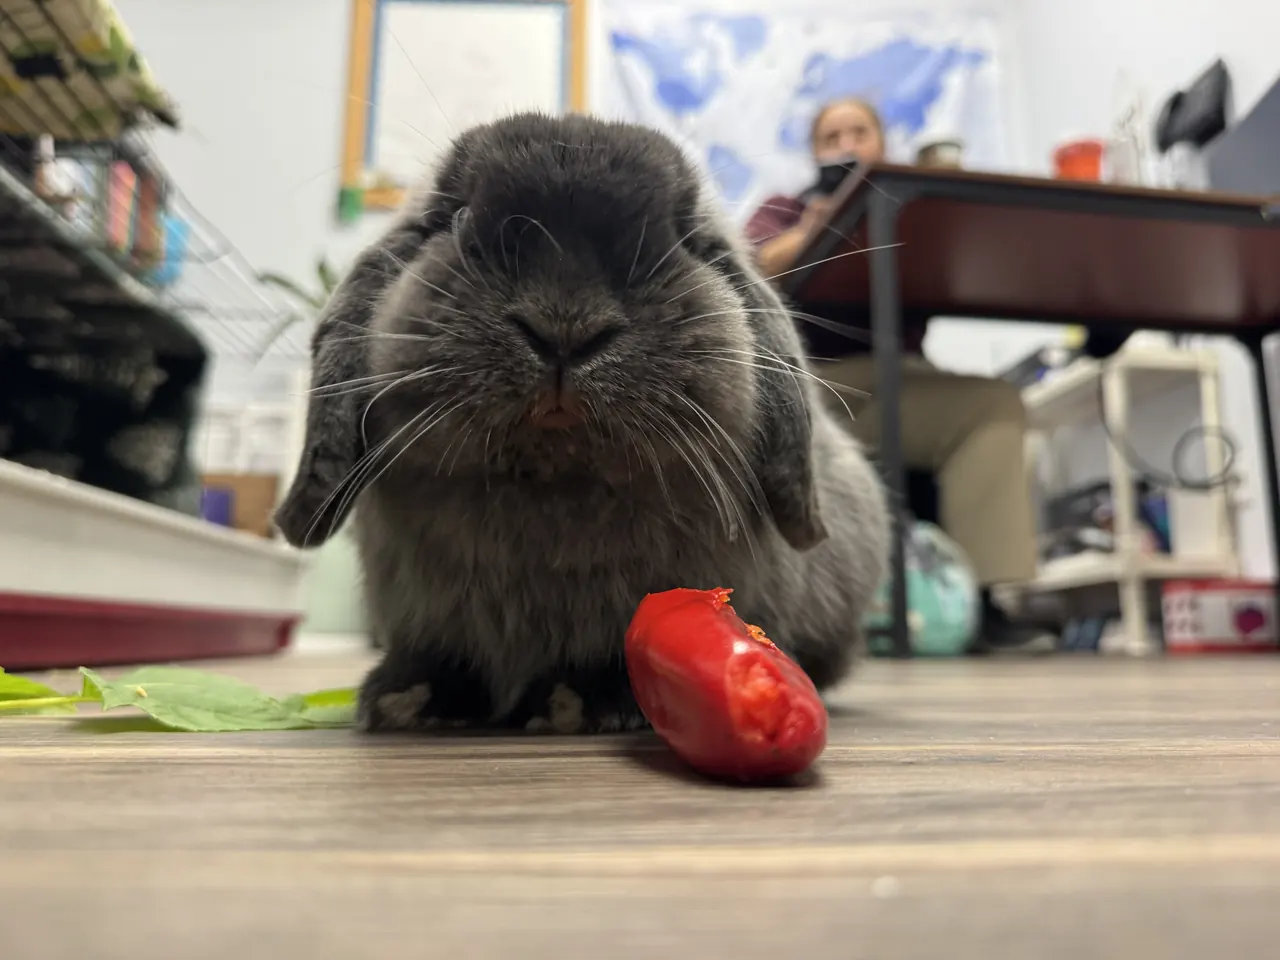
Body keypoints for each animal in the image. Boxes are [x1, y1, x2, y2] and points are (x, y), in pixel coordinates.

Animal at [274, 112, 889, 734]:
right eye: (458, 218)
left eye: (683, 241)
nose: (564, 328)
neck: (548, 489)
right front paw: (411, 698)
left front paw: (587, 700)